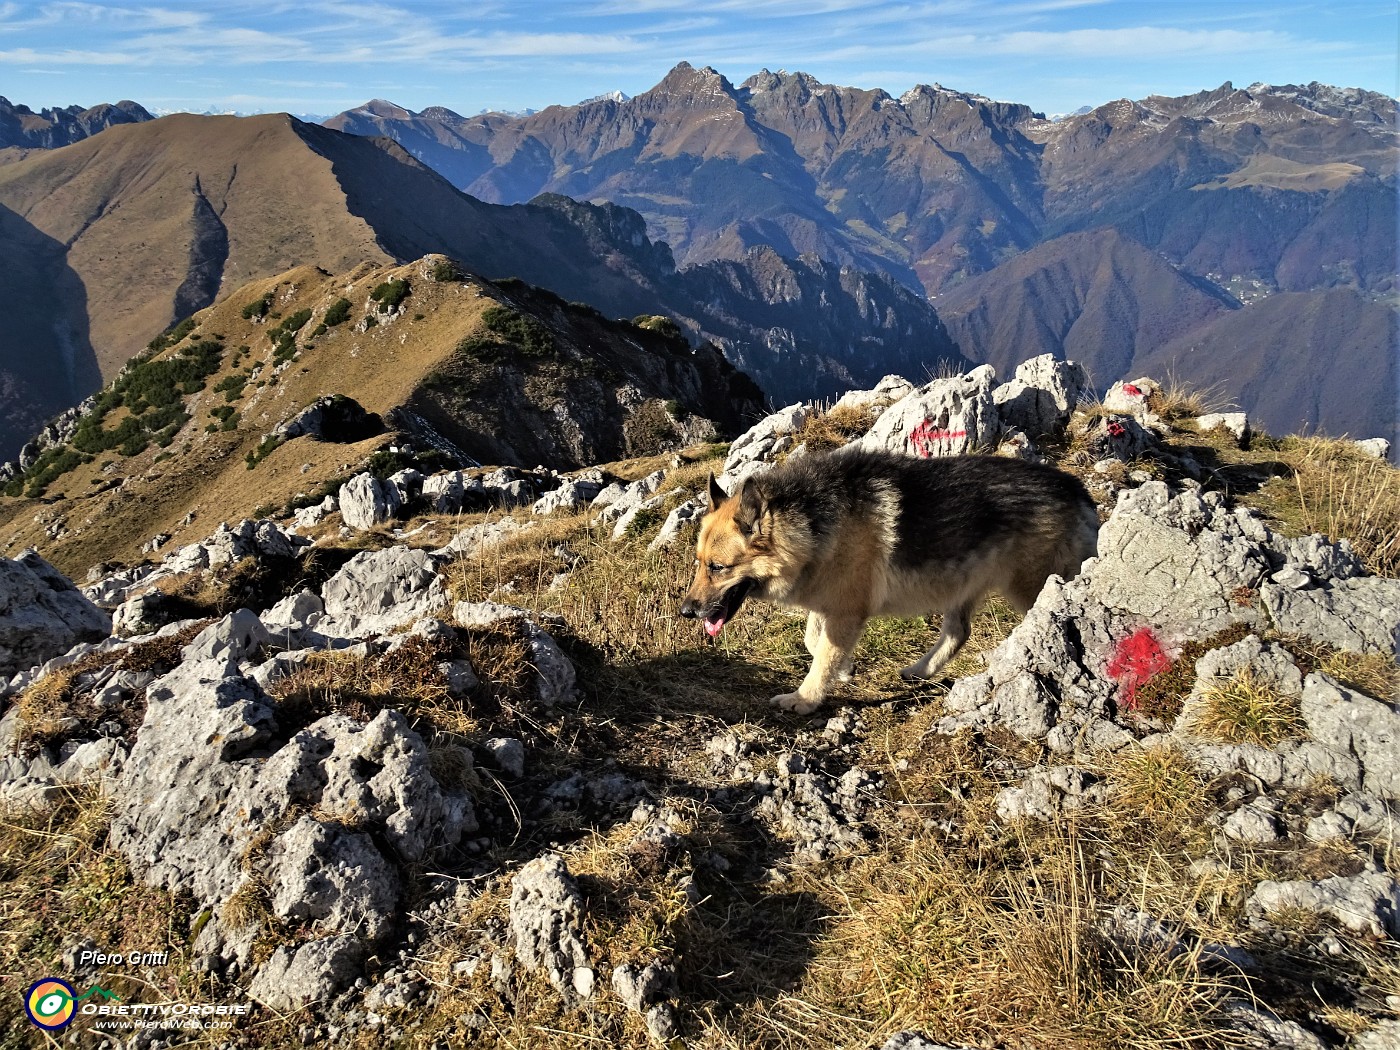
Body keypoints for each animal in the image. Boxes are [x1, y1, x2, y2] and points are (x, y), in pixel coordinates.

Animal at [677, 448, 1092, 722]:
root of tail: (1078, 491)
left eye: (717, 567)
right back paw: (920, 671)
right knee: (959, 632)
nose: (686, 611)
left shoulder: (847, 611)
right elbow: (815, 641)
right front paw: (845, 668)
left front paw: (805, 698)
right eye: (698, 563)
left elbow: (822, 656)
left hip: (1033, 588)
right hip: (963, 587)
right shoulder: (834, 604)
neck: (810, 523)